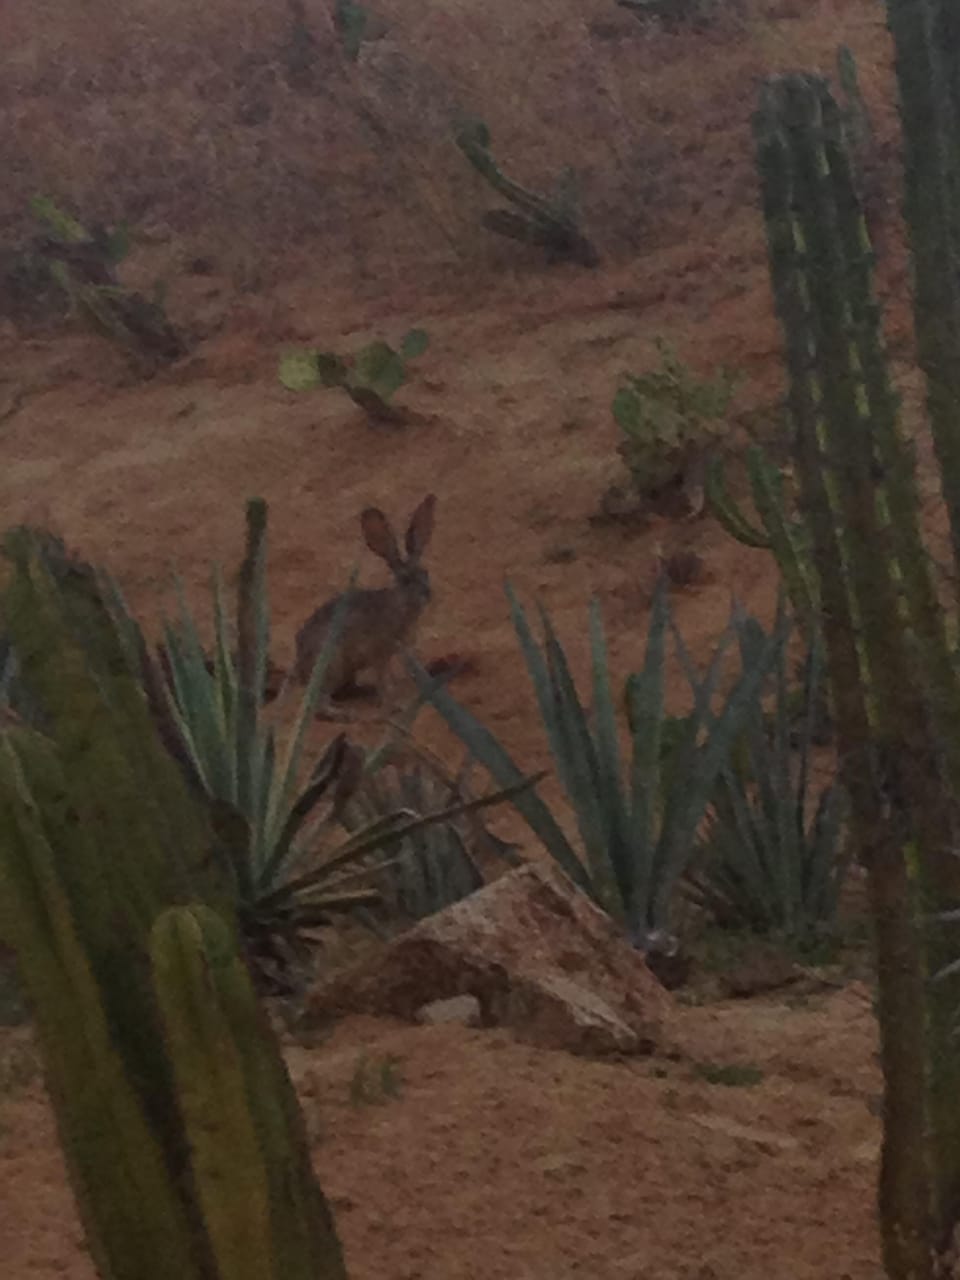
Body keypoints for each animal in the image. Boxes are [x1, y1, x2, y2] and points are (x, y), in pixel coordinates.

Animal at [293, 494, 436, 706]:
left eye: (425, 573)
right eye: (405, 580)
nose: (427, 593)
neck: (399, 605)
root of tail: (301, 668)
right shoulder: (378, 653)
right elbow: (383, 678)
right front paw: (393, 702)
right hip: (332, 664)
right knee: (321, 701)